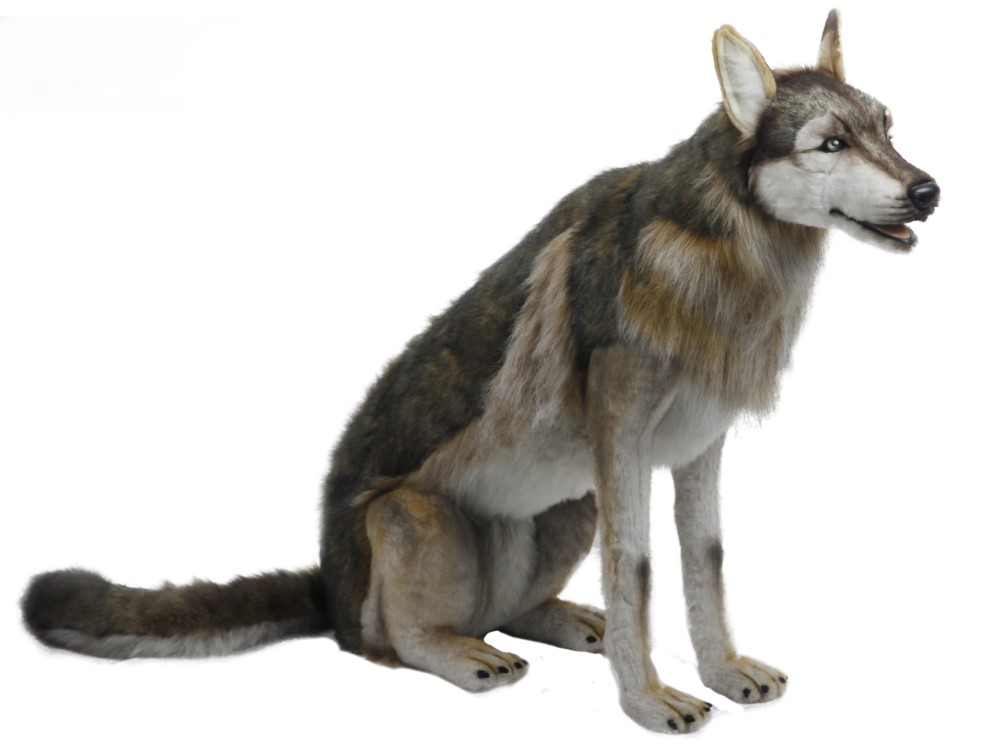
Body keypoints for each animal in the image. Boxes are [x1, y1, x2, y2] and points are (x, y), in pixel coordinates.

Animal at [22, 10, 938, 734]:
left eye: (887, 128)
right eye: (830, 143)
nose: (929, 190)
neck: (719, 259)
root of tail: (326, 587)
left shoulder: (693, 451)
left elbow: (703, 564)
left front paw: (722, 674)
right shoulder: (624, 450)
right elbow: (639, 571)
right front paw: (647, 703)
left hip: (568, 505)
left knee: (517, 612)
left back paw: (565, 621)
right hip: (417, 519)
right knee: (393, 646)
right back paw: (465, 655)